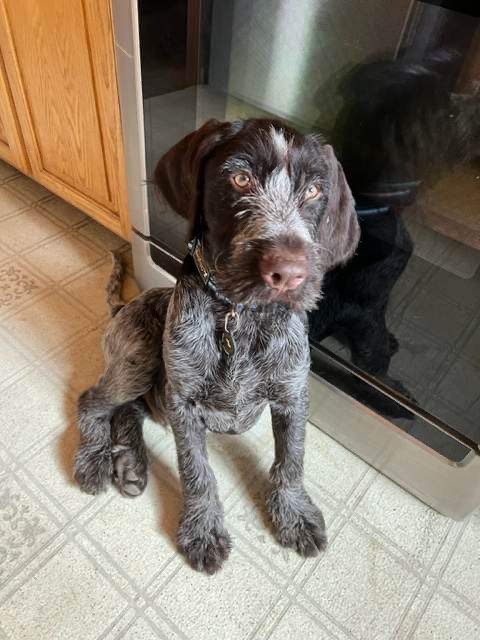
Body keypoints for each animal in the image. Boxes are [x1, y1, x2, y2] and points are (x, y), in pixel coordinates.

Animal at [74, 117, 360, 572]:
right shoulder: (184, 403)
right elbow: (196, 472)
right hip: (139, 358)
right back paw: (94, 459)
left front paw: (293, 514)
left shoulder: (292, 395)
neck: (240, 317)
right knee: (93, 402)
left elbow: (291, 460)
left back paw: (132, 461)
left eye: (315, 190)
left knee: (130, 411)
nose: (288, 273)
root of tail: (122, 306)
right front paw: (202, 529)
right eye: (240, 179)